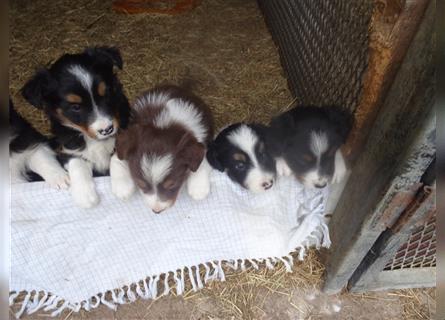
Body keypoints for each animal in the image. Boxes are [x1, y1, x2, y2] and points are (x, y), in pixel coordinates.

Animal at [21, 46, 130, 209]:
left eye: (107, 93)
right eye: (76, 107)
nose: (107, 130)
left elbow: (119, 153)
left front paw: (123, 186)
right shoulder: (66, 147)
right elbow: (77, 163)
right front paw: (85, 195)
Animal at [111, 84, 215, 214]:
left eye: (172, 185)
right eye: (141, 184)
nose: (157, 211)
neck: (163, 123)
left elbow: (202, 158)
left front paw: (198, 188)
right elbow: (116, 158)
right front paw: (122, 187)